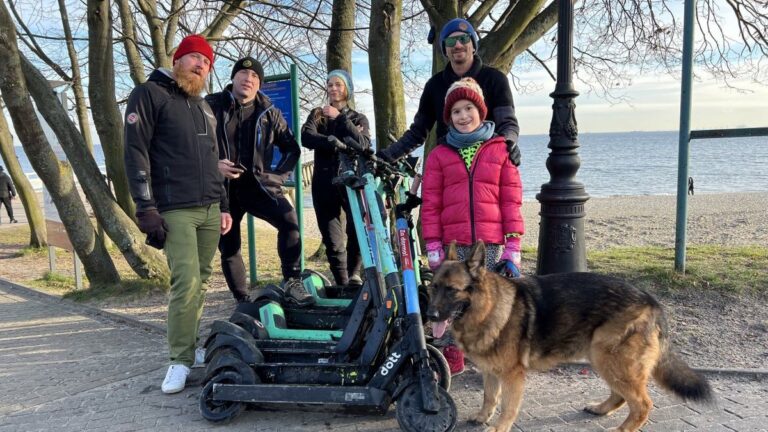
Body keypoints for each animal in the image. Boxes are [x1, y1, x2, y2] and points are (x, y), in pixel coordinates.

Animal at [426, 243, 712, 432]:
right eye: (433, 287)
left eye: (451, 290)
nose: (429, 315)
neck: (489, 307)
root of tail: (653, 303)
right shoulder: (491, 370)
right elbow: (489, 397)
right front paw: (483, 416)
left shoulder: (512, 375)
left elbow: (507, 406)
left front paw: (498, 427)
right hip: (603, 358)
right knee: (622, 395)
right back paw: (601, 409)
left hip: (609, 358)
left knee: (642, 404)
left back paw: (621, 429)